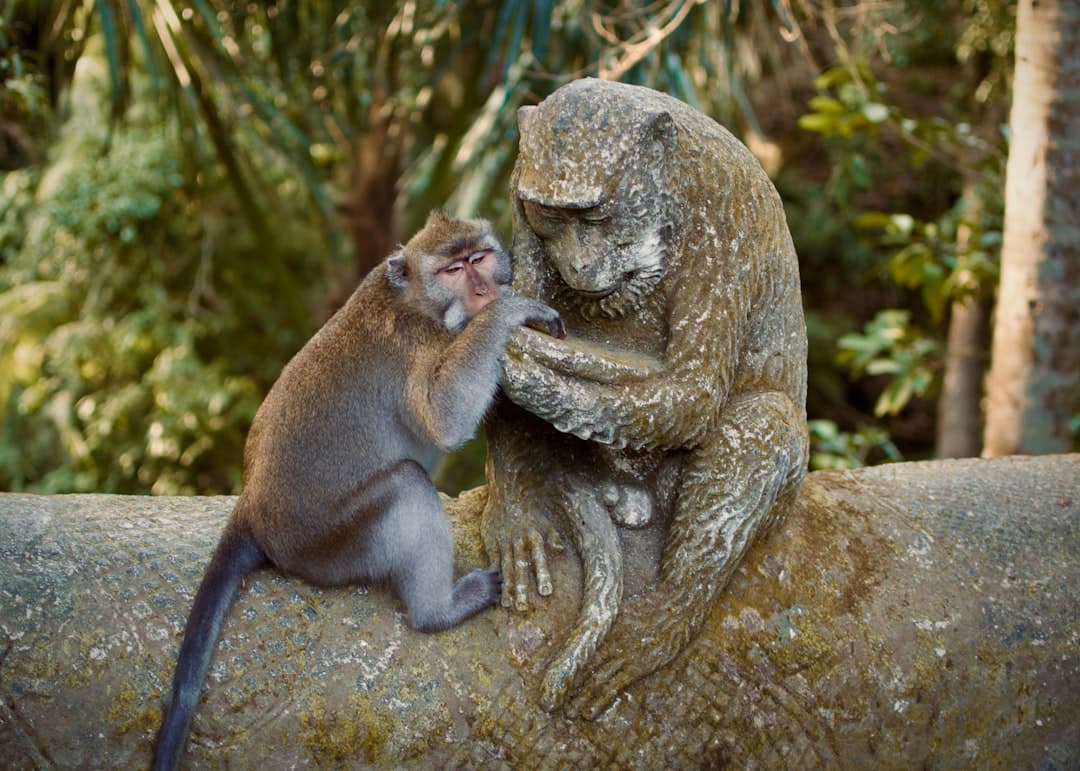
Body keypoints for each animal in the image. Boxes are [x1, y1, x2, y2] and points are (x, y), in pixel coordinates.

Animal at [152, 209, 565, 771]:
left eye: (479, 257)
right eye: (453, 269)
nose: (483, 290)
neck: (415, 301)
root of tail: (253, 508)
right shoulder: (416, 342)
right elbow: (443, 418)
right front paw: (509, 312)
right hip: (330, 544)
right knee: (408, 485)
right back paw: (439, 610)